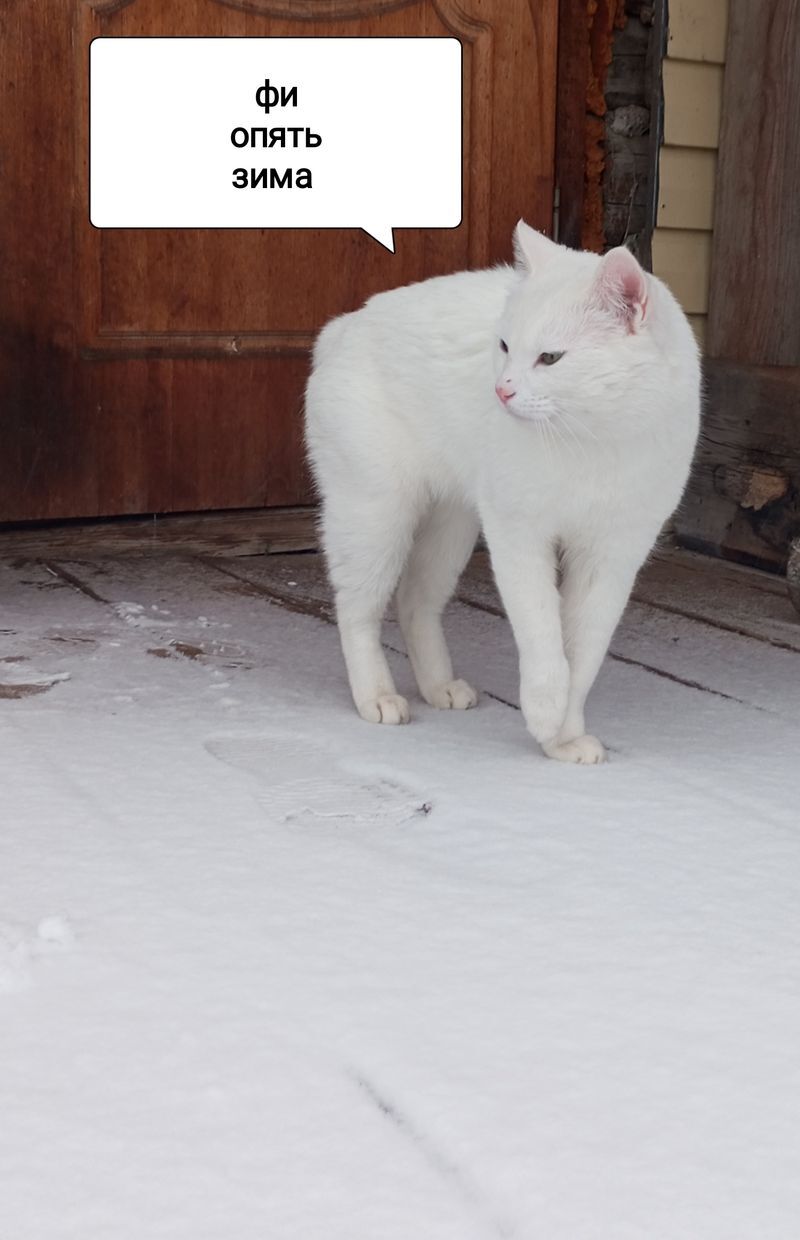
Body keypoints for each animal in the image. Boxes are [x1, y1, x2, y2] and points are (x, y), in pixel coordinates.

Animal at [306, 226, 699, 758]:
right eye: (505, 345)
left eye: (550, 358)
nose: (501, 390)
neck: (592, 440)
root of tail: (344, 325)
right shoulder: (518, 534)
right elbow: (543, 635)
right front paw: (546, 713)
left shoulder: (613, 556)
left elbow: (584, 652)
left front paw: (563, 739)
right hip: (375, 515)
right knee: (356, 607)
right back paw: (377, 696)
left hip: (450, 526)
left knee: (414, 601)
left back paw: (438, 686)